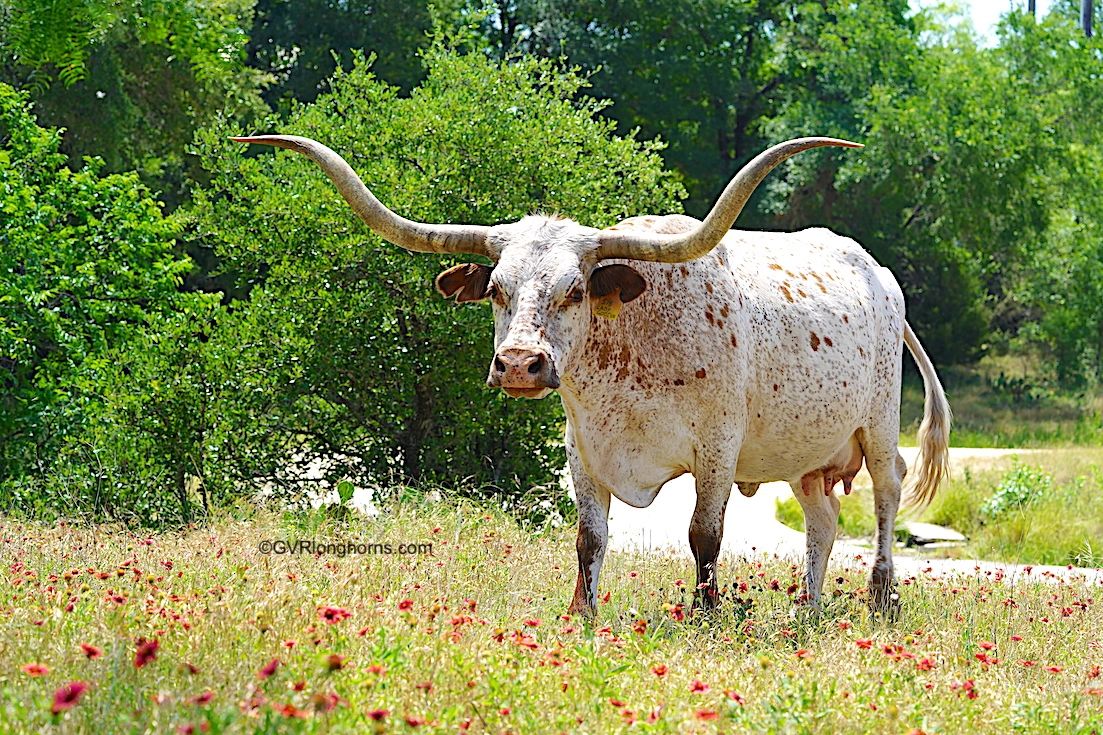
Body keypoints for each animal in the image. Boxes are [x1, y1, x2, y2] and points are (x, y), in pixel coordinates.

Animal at [230, 132, 948, 613]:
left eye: (574, 290)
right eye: (496, 290)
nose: (519, 364)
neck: (627, 359)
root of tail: (878, 274)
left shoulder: (717, 449)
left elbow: (704, 534)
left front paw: (706, 615)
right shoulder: (582, 449)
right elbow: (589, 536)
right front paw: (582, 615)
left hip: (876, 426)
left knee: (885, 498)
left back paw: (881, 598)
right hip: (806, 453)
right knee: (822, 520)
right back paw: (809, 609)